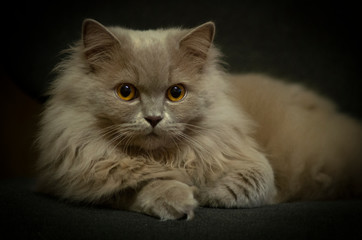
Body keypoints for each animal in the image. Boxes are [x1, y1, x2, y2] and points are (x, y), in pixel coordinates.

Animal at [36, 19, 362, 220]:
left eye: (176, 93)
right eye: (126, 92)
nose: (153, 118)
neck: (162, 158)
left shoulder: (253, 165)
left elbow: (239, 186)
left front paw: (200, 192)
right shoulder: (73, 179)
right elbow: (135, 187)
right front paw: (176, 197)